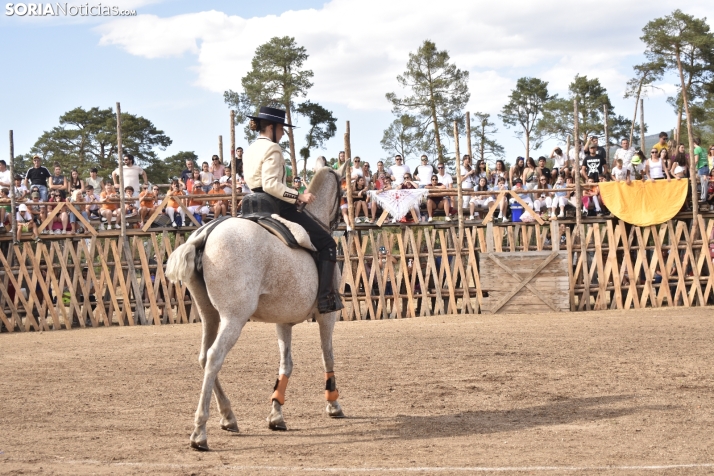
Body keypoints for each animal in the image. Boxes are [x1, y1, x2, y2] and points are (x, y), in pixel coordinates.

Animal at [165, 164, 346, 450]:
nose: (342, 223)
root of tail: (205, 234)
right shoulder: (328, 317)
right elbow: (327, 356)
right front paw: (333, 403)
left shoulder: (283, 322)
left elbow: (286, 364)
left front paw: (276, 414)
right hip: (234, 318)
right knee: (214, 357)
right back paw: (200, 432)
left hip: (210, 316)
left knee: (204, 356)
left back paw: (228, 416)